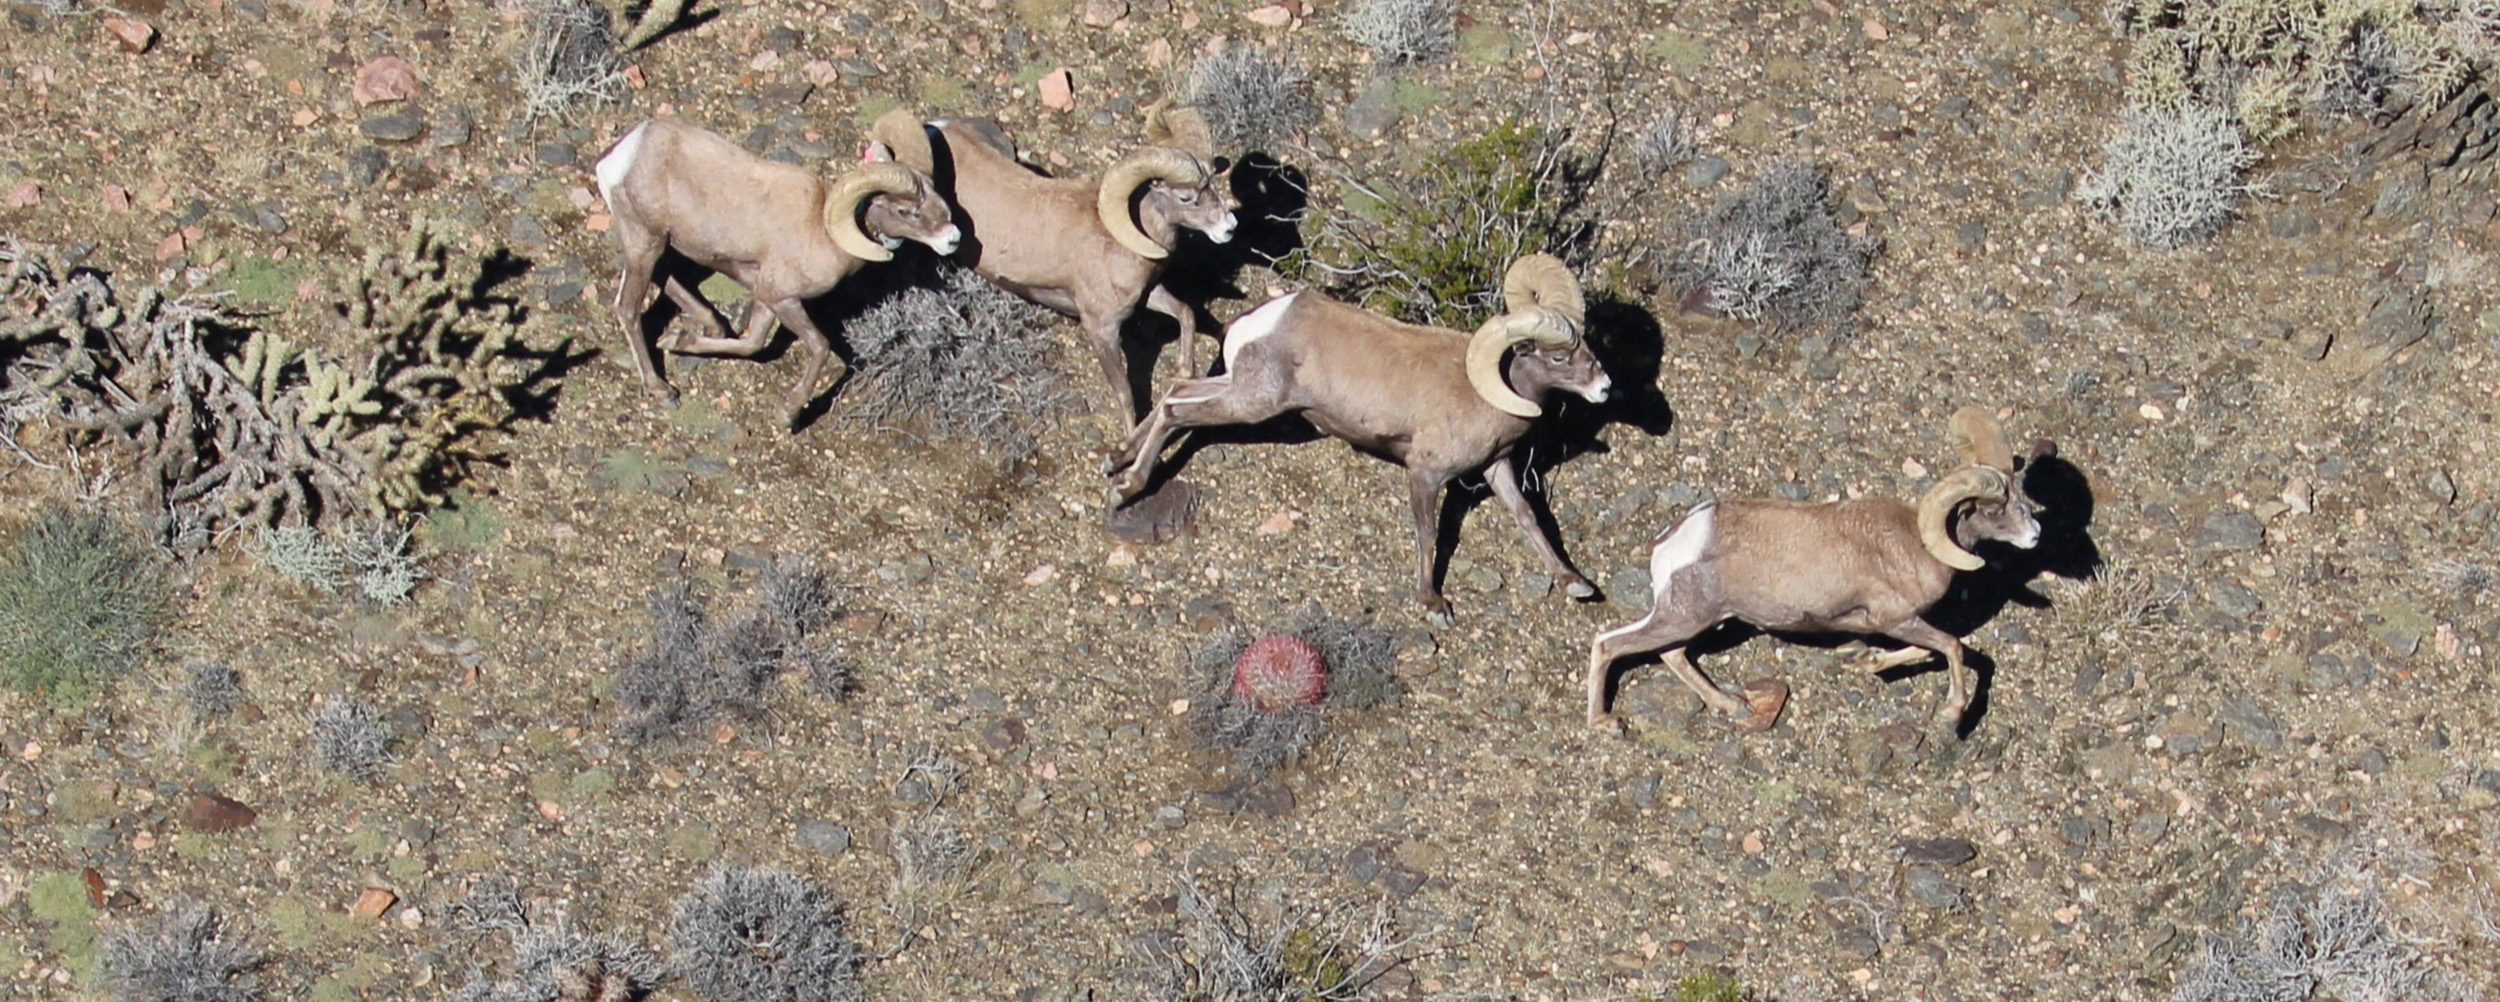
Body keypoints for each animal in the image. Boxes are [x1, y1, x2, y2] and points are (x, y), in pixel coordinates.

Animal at [593, 118, 962, 427]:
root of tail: (619, 158)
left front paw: (680, 340)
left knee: (665, 276)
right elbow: (819, 346)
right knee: (627, 308)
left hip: (659, 243)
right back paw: (662, 391)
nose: (953, 239)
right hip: (644, 241)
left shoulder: (766, 296)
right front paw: (788, 414)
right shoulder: (783, 298)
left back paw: (709, 325)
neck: (822, 230)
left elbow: (753, 343)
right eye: (906, 211)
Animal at [866, 104, 1238, 423]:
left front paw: (1184, 372)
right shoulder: (1101, 328)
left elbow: (1186, 314)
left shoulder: (1149, 295)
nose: (1229, 228)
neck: (1119, 237)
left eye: (1212, 186)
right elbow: (1125, 394)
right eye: (1186, 198)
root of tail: (934, 128)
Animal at [1104, 253, 1611, 627]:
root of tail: (1258, 322)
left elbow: (1528, 517)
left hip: (1239, 391)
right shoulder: (1426, 474)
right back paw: (1126, 487)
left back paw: (1117, 459)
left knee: (1175, 391)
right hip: (1252, 404)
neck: (1484, 391)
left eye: (1586, 346)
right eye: (1559, 357)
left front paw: (1575, 582)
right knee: (1176, 410)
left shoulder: (1496, 467)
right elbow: (1429, 534)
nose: (1605, 388)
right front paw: (1433, 605)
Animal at [1583, 407, 2042, 734]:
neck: (1915, 542)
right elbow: (1951, 646)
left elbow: (1930, 648)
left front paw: (1865, 661)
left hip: (1696, 620)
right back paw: (1606, 724)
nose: (2036, 535)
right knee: (1610, 644)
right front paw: (1951, 714)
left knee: (1671, 653)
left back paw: (1729, 705)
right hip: (1683, 618)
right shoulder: (1897, 620)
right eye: (1994, 510)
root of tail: (1673, 542)